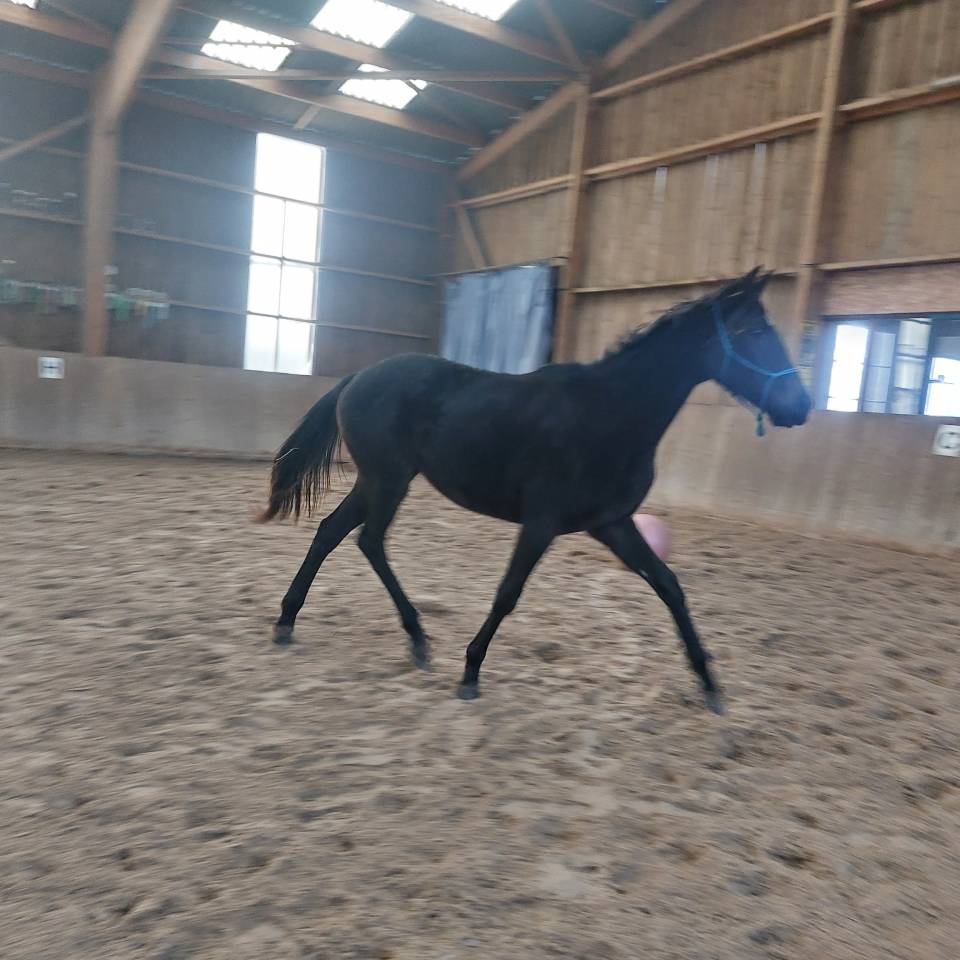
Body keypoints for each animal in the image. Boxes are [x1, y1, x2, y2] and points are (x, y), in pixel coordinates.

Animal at [257, 267, 811, 713]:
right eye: (751, 330)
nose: (800, 406)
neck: (613, 414)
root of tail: (358, 377)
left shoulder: (612, 523)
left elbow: (670, 586)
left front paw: (710, 684)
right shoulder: (542, 521)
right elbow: (508, 594)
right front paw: (470, 673)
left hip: (379, 480)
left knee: (331, 533)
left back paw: (291, 622)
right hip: (388, 479)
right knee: (368, 540)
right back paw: (414, 638)